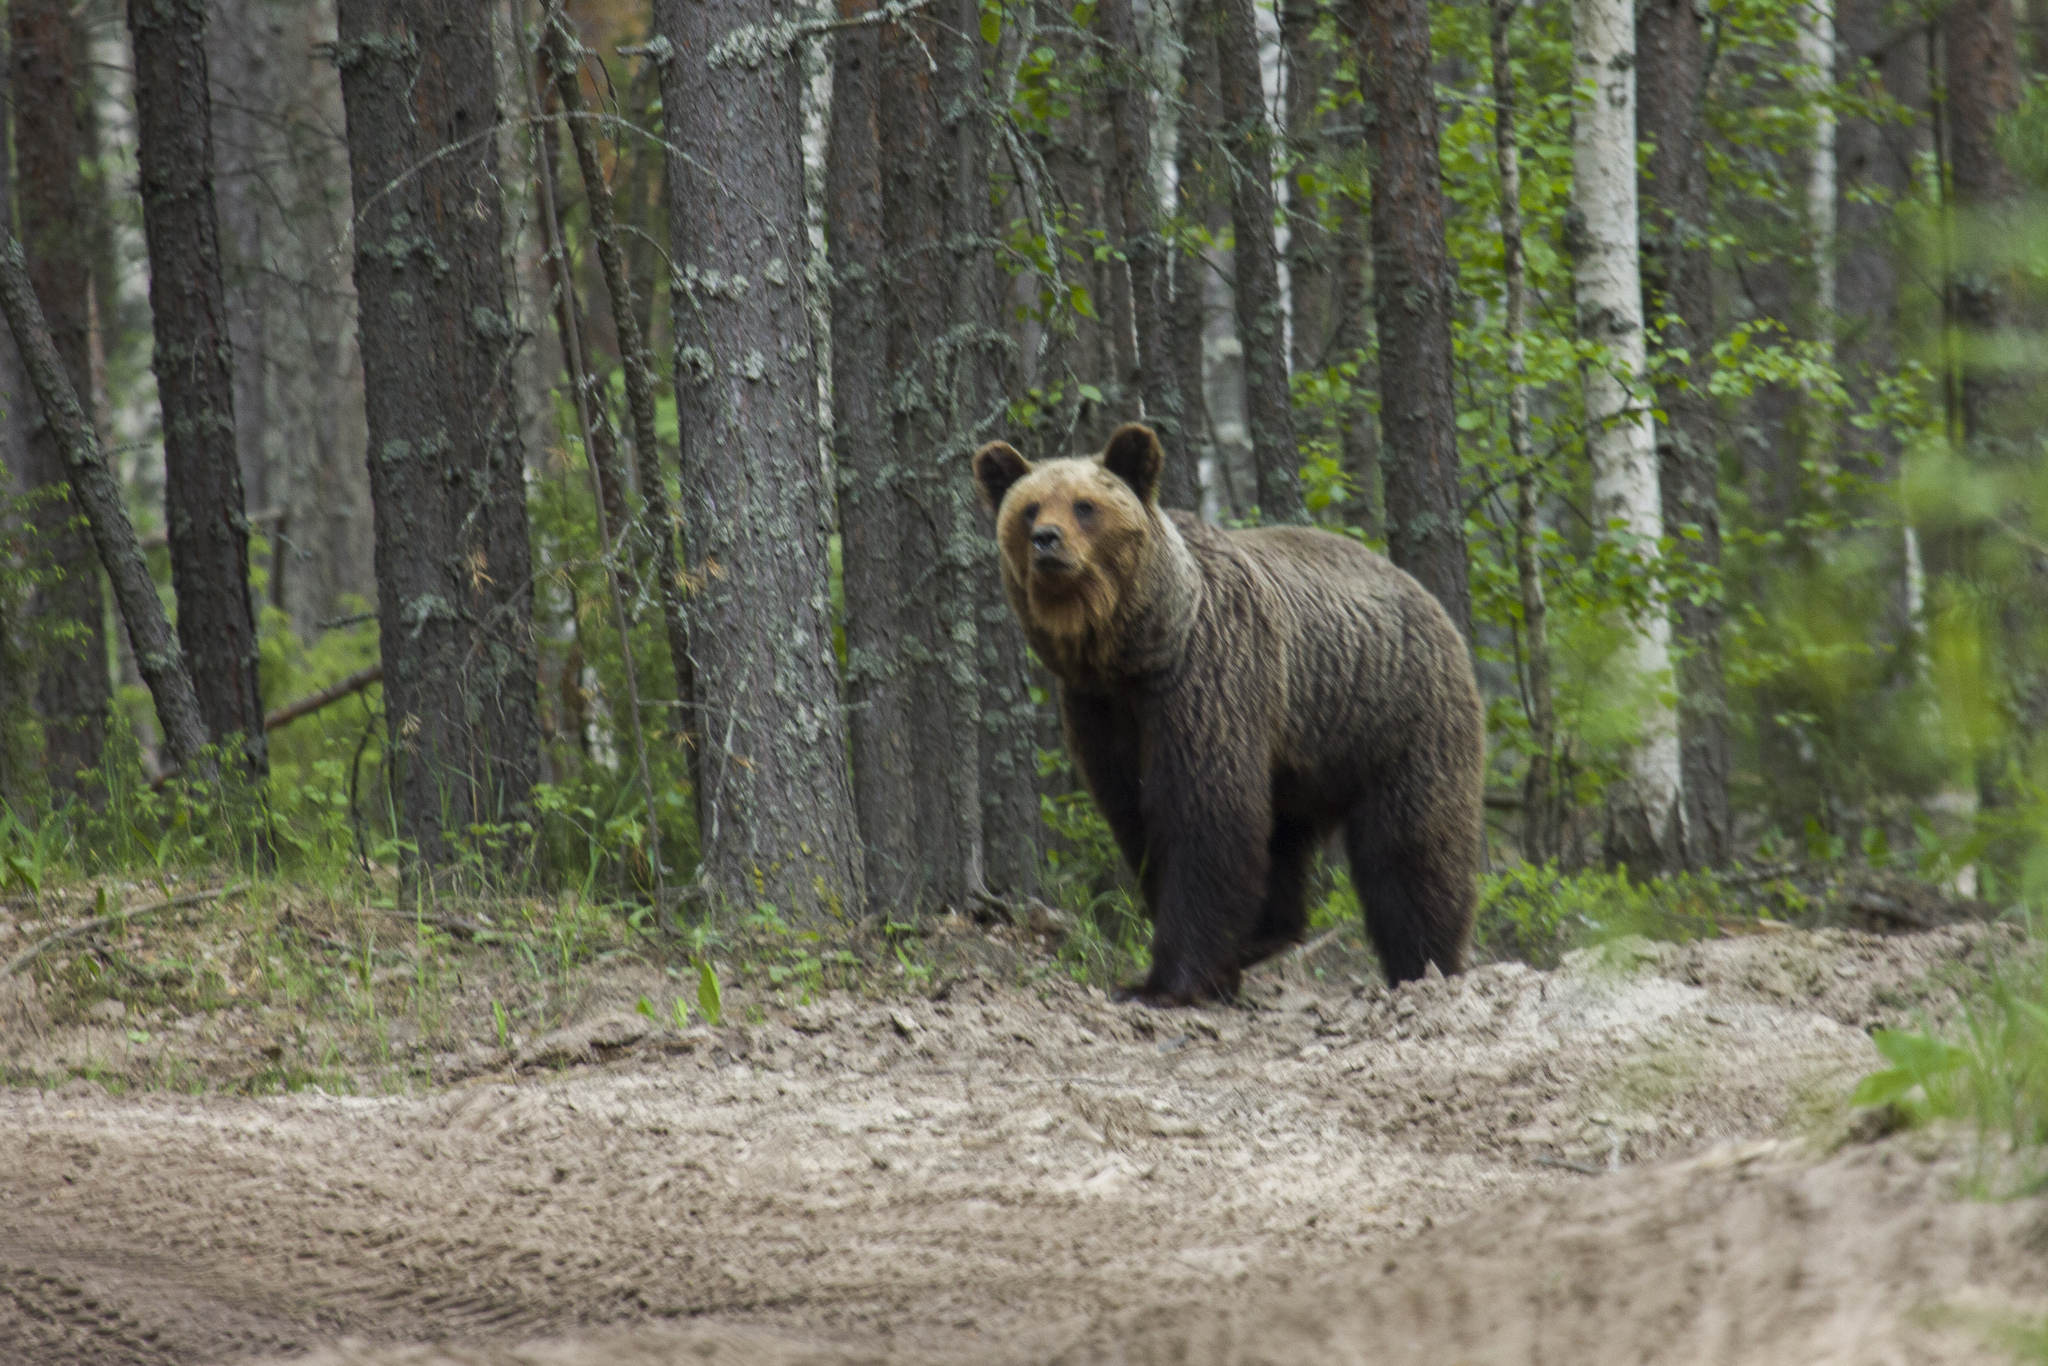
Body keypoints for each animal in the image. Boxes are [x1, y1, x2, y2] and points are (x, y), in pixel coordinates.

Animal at [966, 421, 1482, 1011]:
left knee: (1411, 851)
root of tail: (1429, 599)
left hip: (1395, 718)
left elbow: (1203, 813)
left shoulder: (1207, 678)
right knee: (1284, 844)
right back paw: (1267, 933)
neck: (1136, 648)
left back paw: (1426, 965)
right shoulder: (1100, 709)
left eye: (1084, 505)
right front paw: (1203, 966)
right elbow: (1135, 815)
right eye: (1028, 507)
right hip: (1300, 757)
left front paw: (1164, 981)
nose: (1046, 540)